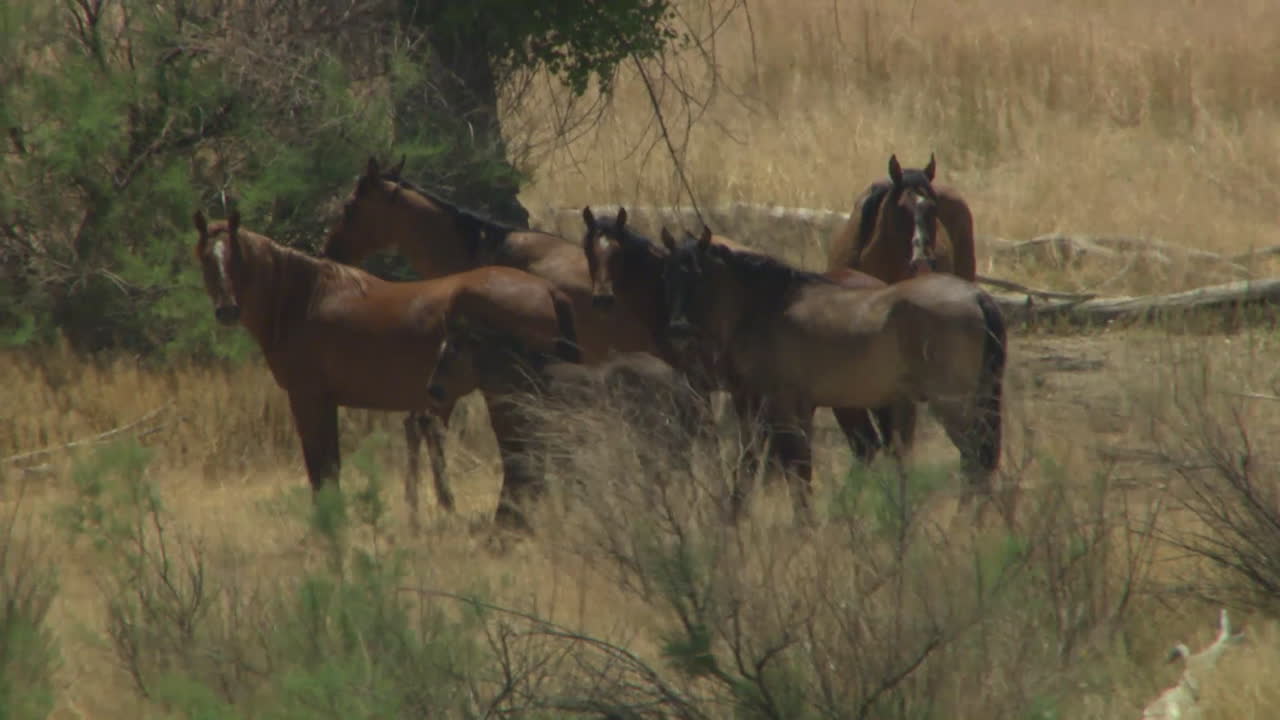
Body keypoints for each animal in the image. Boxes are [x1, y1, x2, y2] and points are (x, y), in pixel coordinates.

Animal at [191, 209, 581, 532]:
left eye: (236, 256)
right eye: (207, 259)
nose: (227, 310)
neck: (303, 299)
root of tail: (546, 289)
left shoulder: (309, 399)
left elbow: (322, 468)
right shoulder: (324, 402)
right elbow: (328, 466)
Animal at [662, 225, 1006, 522]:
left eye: (699, 275)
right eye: (669, 275)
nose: (677, 328)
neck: (769, 308)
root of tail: (976, 296)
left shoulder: (780, 404)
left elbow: (793, 465)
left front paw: (803, 524)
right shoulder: (776, 406)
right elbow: (768, 462)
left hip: (952, 404)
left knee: (975, 458)